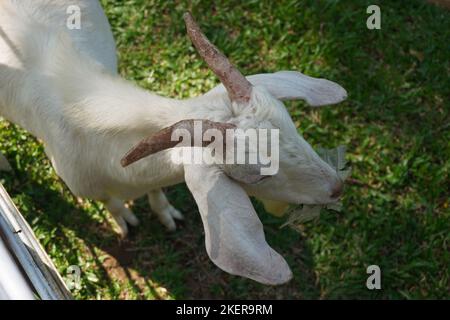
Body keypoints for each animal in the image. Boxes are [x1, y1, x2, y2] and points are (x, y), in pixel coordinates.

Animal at [0, 0, 348, 284]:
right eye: (257, 176)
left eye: (293, 128)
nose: (336, 188)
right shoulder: (83, 186)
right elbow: (111, 204)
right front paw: (125, 221)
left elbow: (156, 192)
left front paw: (166, 213)